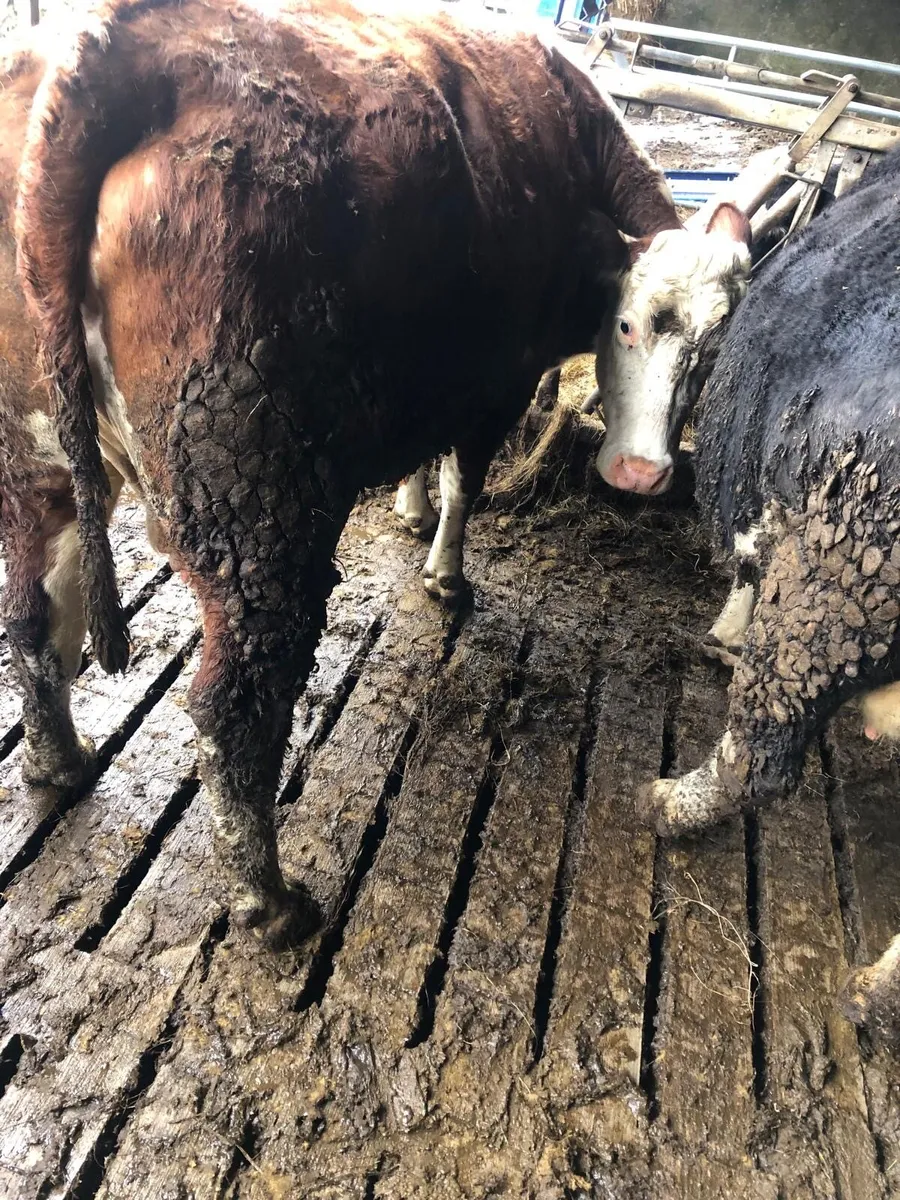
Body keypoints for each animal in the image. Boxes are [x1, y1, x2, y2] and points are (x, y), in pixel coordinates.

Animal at [1, 0, 751, 948]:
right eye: (627, 323)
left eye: (713, 351)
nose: (645, 473)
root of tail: (114, 44)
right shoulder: (494, 380)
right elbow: (468, 480)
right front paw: (444, 572)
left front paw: (407, 506)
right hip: (257, 519)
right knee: (233, 711)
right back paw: (271, 904)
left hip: (38, 465)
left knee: (32, 619)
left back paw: (60, 761)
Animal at [639, 144, 900, 1043]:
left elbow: (747, 578)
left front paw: (722, 634)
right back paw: (874, 992)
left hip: (825, 599)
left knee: (756, 759)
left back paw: (668, 803)